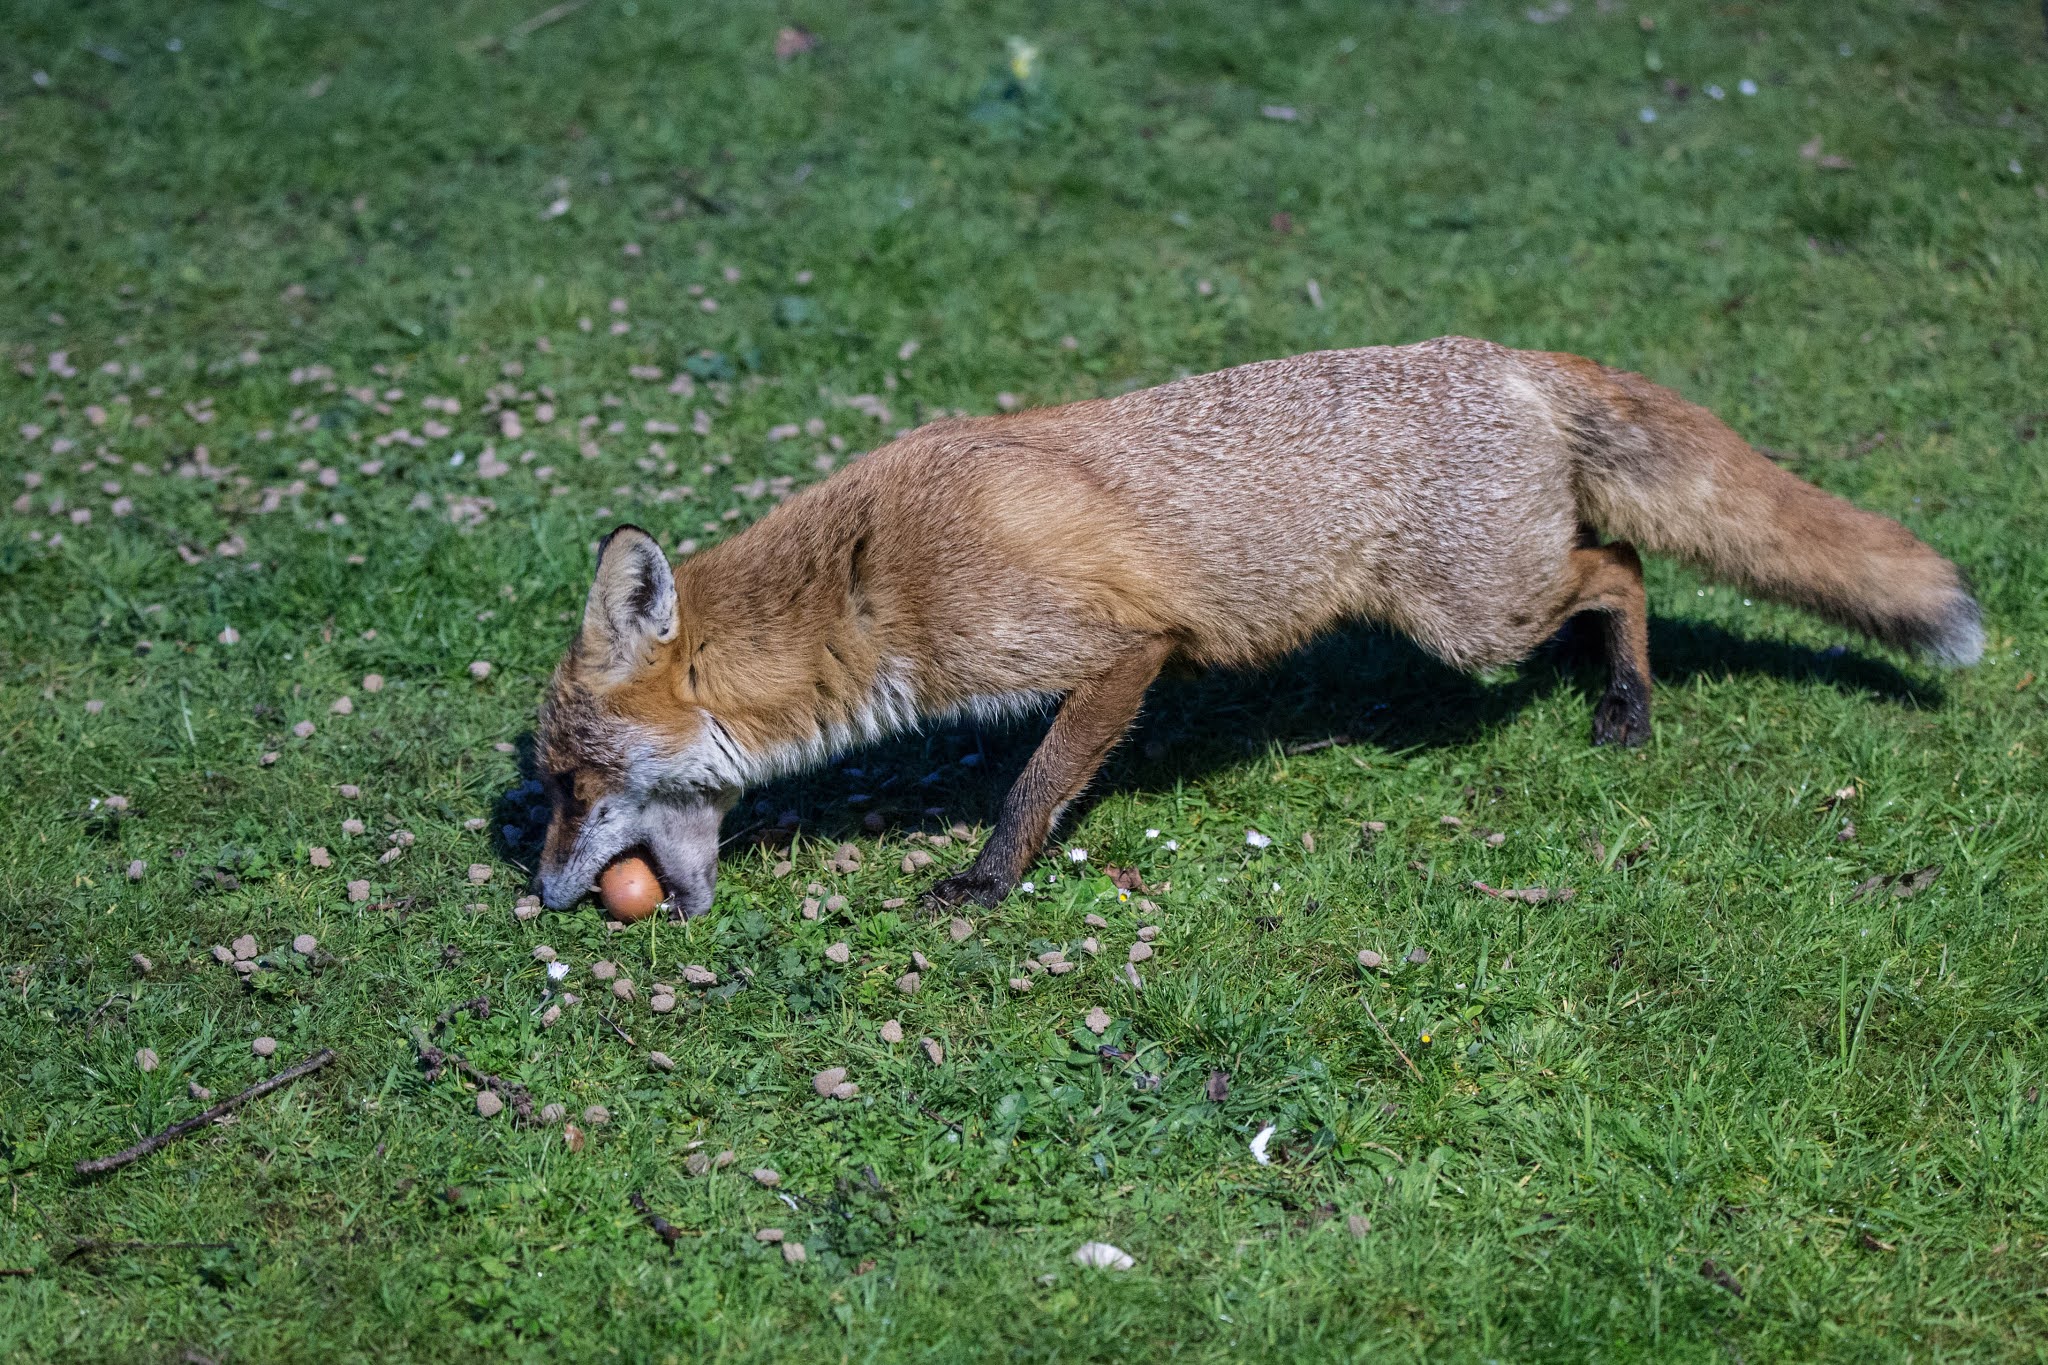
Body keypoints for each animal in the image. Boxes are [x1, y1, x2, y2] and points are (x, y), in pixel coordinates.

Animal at [534, 336, 1981, 917]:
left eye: (569, 786)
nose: (543, 892)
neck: (873, 572)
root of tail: (1506, 355)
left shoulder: (1120, 651)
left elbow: (1033, 786)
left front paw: (990, 883)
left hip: (1471, 619)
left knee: (1621, 569)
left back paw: (1626, 705)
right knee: (1620, 557)